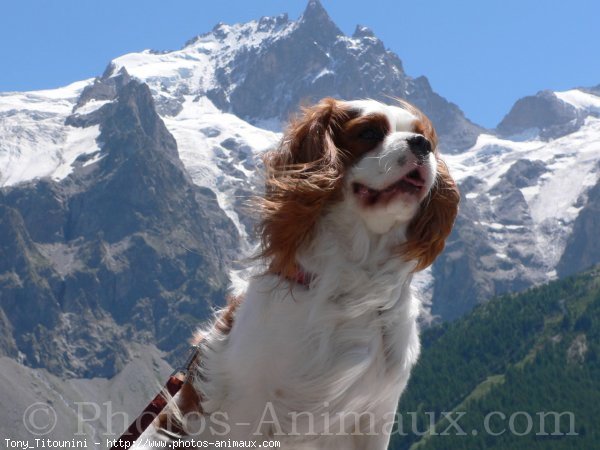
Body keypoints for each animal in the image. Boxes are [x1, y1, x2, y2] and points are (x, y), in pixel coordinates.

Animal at [136, 98, 460, 450]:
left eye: (426, 138)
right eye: (369, 133)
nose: (422, 144)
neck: (354, 282)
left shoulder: (375, 416)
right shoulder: (249, 410)